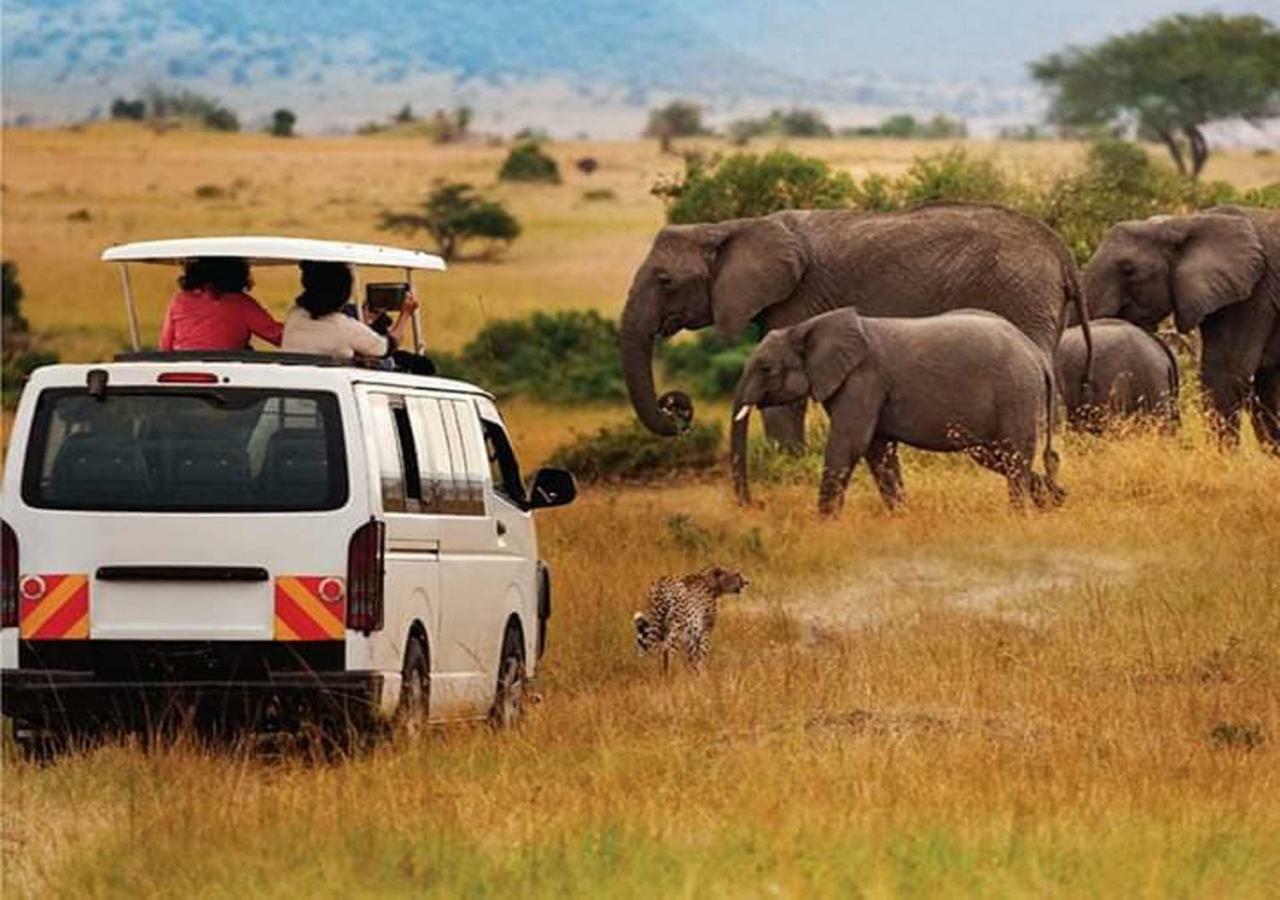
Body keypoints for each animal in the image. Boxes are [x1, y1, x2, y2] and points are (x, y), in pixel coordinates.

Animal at [619, 200, 1090, 448]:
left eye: (665, 280)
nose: (677, 405)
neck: (731, 227)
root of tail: (1059, 250)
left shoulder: (799, 298)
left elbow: (786, 399)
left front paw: (789, 465)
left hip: (1020, 293)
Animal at [732, 309, 1059, 517]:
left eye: (766, 369)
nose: (756, 504)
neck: (806, 326)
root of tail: (1037, 356)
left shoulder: (862, 379)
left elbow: (849, 444)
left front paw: (823, 523)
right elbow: (878, 451)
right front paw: (901, 515)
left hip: (1016, 393)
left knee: (1013, 454)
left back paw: (1019, 515)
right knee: (999, 456)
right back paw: (1054, 501)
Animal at [1080, 207, 1280, 453]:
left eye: (1128, 270)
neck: (1184, 223)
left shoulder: (1254, 295)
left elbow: (1225, 374)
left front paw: (1221, 457)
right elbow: (1264, 384)